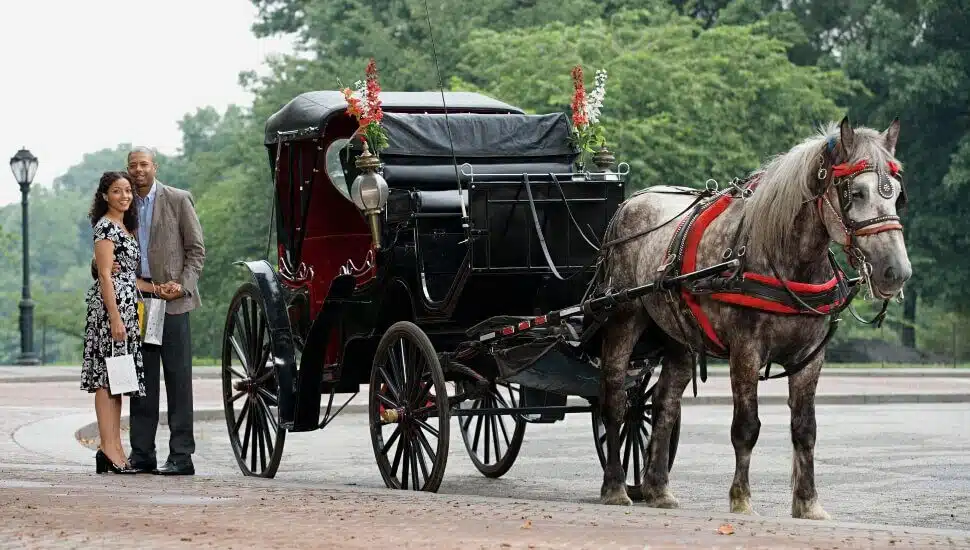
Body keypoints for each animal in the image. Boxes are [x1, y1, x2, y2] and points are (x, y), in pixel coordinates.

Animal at [594, 117, 911, 519]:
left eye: (897, 196)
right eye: (856, 193)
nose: (896, 272)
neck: (785, 258)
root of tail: (630, 201)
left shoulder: (810, 357)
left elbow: (805, 428)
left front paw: (808, 502)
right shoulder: (746, 350)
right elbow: (746, 426)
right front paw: (741, 499)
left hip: (678, 334)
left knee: (665, 404)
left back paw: (658, 487)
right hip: (624, 315)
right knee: (615, 399)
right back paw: (616, 486)